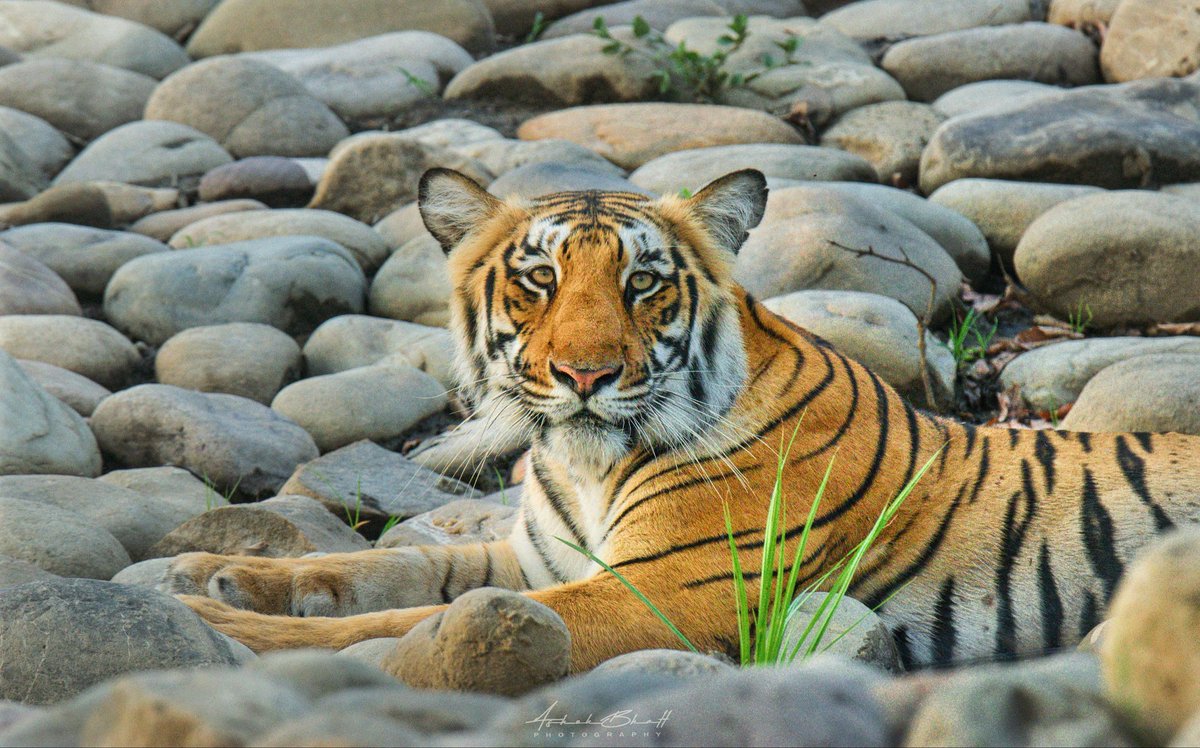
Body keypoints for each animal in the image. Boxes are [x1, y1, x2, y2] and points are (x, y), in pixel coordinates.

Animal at [168, 168, 1200, 673]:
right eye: (538, 278)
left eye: (643, 282)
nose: (584, 374)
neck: (584, 467)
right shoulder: (537, 561)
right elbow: (400, 569)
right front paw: (216, 572)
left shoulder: (661, 592)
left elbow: (402, 623)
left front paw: (207, 623)